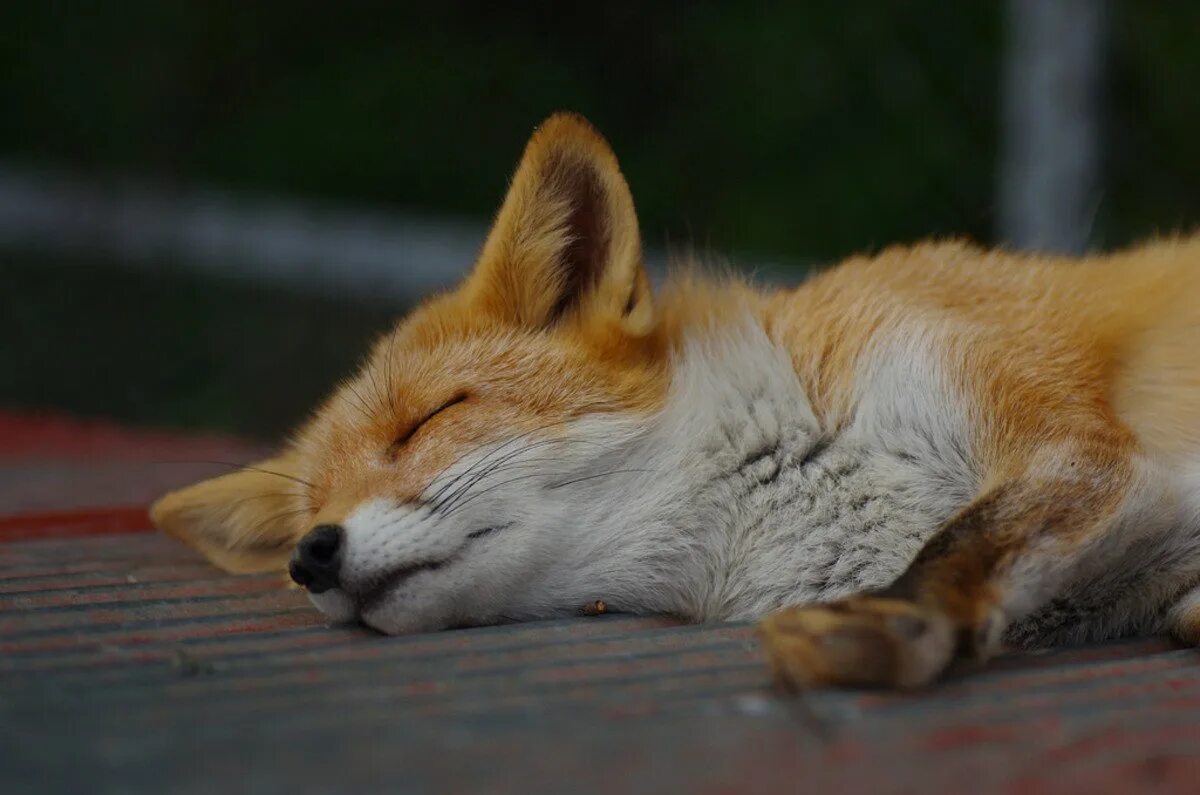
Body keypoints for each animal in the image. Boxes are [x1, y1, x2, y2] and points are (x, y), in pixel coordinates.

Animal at [150, 113, 1200, 691]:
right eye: (312, 507)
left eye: (429, 419)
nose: (310, 554)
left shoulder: (1065, 436)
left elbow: (962, 542)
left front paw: (883, 625)